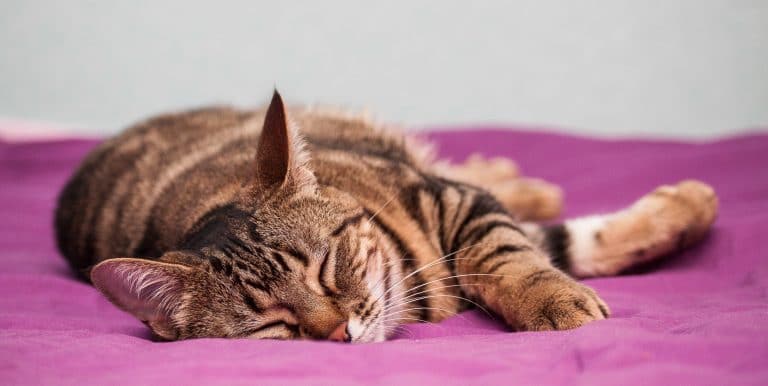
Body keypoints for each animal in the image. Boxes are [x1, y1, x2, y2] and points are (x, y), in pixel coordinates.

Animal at [55, 92, 720, 342]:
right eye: (274, 323)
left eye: (327, 269)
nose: (337, 332)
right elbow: (560, 243)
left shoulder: (453, 202)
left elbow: (512, 255)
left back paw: (517, 176)